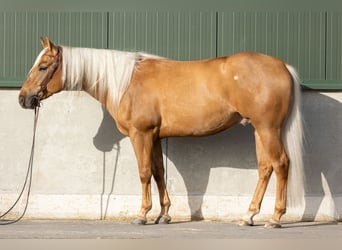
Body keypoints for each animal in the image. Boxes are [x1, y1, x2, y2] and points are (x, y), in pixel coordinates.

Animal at [18, 36, 304, 229]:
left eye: (43, 67)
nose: (23, 99)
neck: (127, 82)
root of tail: (283, 66)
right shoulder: (154, 137)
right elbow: (158, 172)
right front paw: (163, 215)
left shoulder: (141, 134)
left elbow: (144, 173)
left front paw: (142, 215)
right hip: (258, 130)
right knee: (265, 168)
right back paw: (248, 216)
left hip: (268, 129)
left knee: (281, 164)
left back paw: (275, 218)